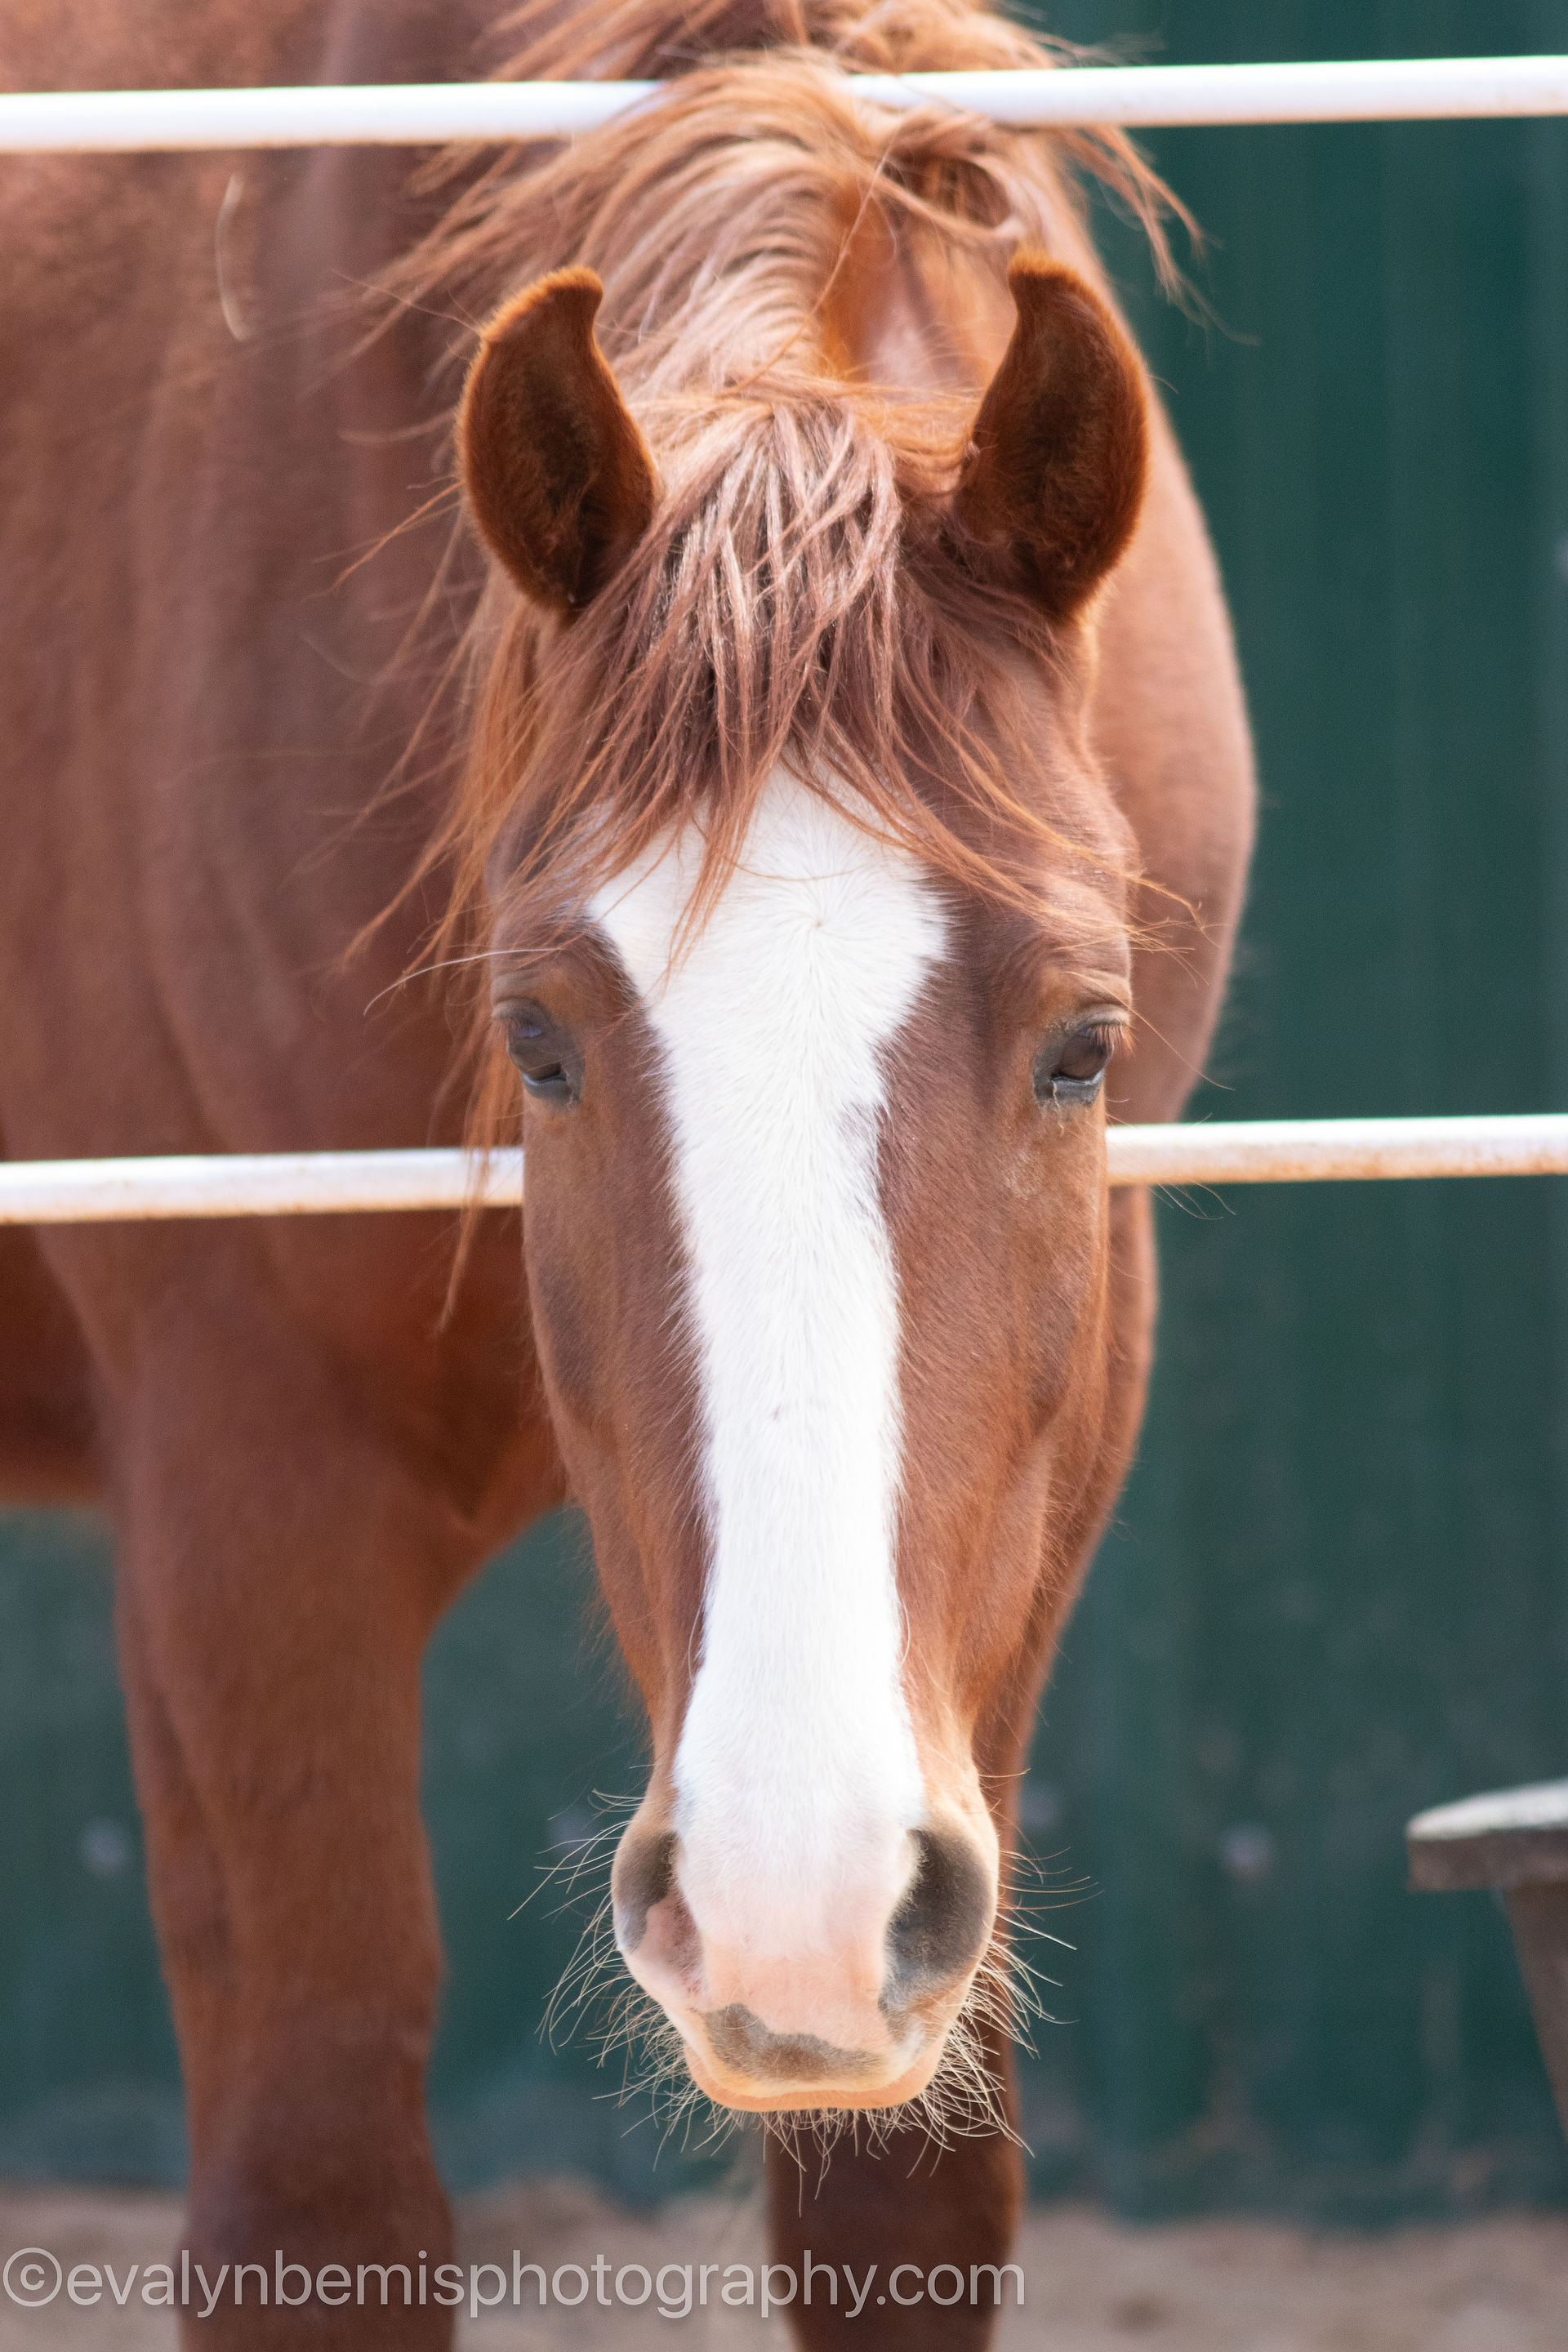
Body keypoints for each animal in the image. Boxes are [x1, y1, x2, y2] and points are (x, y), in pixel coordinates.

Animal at [0, 0, 1253, 2342]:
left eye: (1084, 1044)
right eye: (537, 1042)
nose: (788, 1888)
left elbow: (896, 2213)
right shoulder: (238, 1492)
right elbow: (321, 2200)